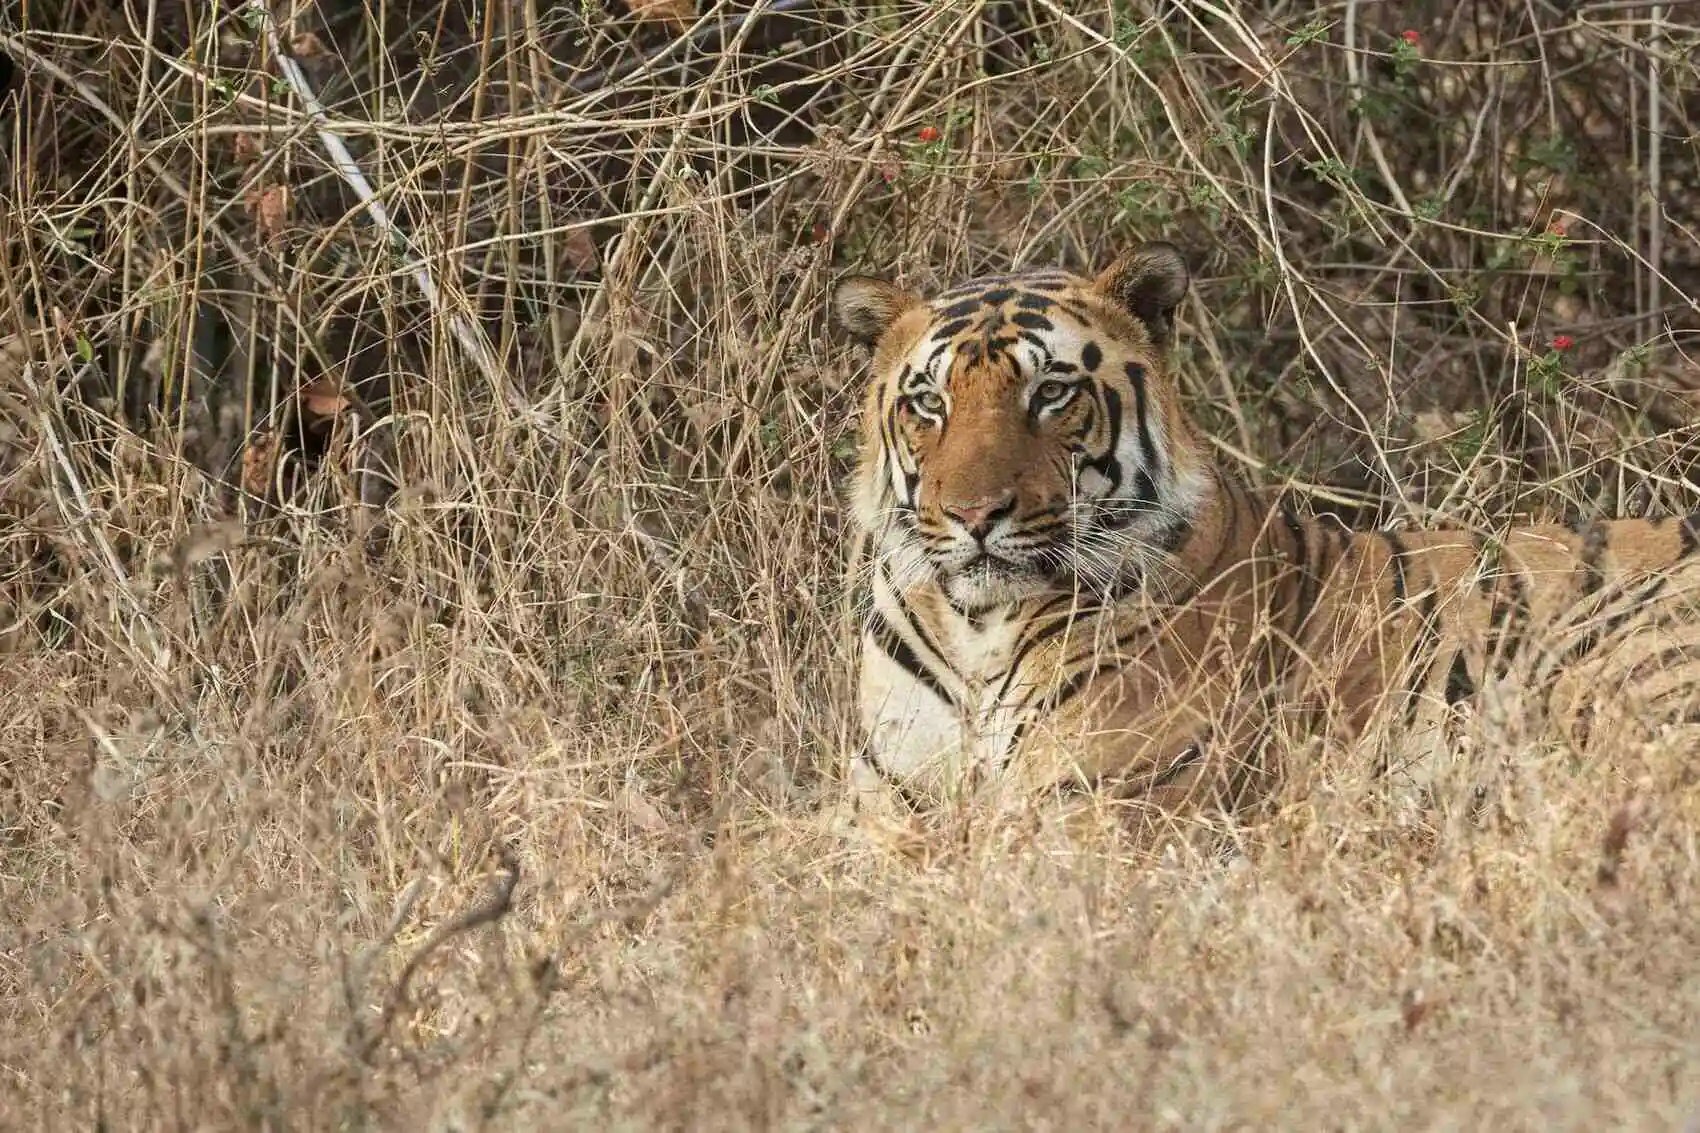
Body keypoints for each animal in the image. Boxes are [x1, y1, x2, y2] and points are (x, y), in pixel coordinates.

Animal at [829, 239, 1700, 830]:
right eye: (929, 402)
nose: (976, 516)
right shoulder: (884, 810)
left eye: (1050, 393)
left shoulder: (1095, 809)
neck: (975, 629)